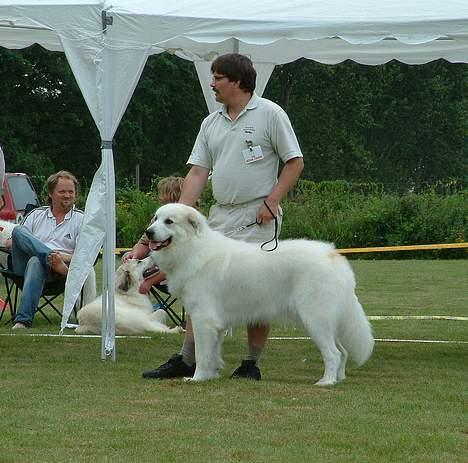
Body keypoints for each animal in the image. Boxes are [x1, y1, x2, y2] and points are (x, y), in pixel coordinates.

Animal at [146, 205, 372, 386]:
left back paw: (326, 382)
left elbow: (202, 354)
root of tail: (333, 255)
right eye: (155, 218)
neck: (192, 248)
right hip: (326, 321)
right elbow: (213, 353)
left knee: (333, 353)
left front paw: (197, 378)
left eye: (169, 221)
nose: (148, 232)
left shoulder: (203, 319)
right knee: (342, 352)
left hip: (315, 319)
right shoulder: (216, 324)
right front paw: (212, 375)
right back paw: (338, 379)